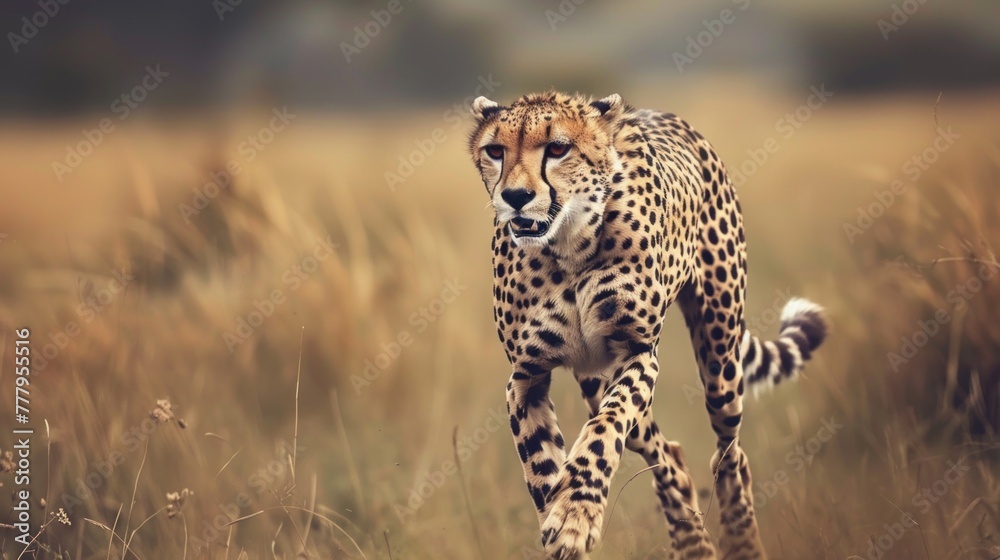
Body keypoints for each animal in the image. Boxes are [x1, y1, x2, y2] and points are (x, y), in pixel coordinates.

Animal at [466, 90, 828, 560]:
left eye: (558, 149)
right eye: (495, 151)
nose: (514, 196)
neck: (567, 246)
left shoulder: (637, 352)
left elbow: (603, 432)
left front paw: (575, 513)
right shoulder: (527, 376)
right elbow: (540, 464)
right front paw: (559, 517)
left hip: (719, 358)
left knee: (729, 453)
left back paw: (741, 540)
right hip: (596, 379)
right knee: (668, 454)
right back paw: (692, 543)